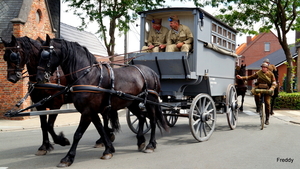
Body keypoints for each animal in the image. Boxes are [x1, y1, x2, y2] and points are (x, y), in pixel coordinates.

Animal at [35, 34, 169, 168]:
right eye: (38, 54)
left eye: (45, 55)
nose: (39, 78)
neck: (88, 76)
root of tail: (151, 72)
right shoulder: (92, 112)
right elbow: (101, 129)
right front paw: (108, 149)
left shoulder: (87, 112)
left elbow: (78, 134)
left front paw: (68, 157)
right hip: (132, 103)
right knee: (141, 117)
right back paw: (141, 140)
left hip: (150, 101)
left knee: (152, 121)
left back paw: (151, 145)